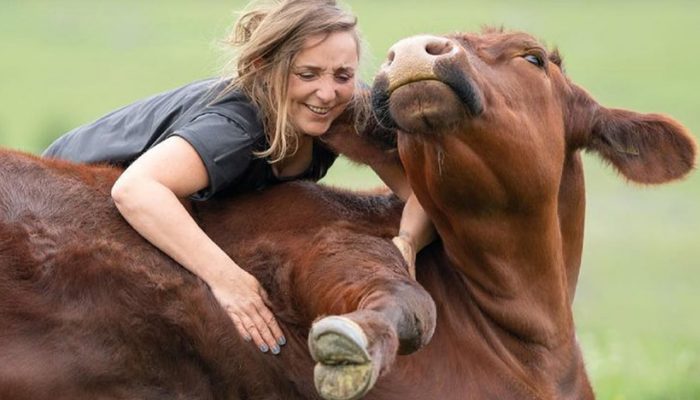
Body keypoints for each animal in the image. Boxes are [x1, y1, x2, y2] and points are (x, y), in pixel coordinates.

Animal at [0, 28, 696, 400]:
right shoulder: (318, 248)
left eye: (533, 57)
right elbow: (407, 297)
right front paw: (350, 346)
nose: (415, 48)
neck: (532, 338)